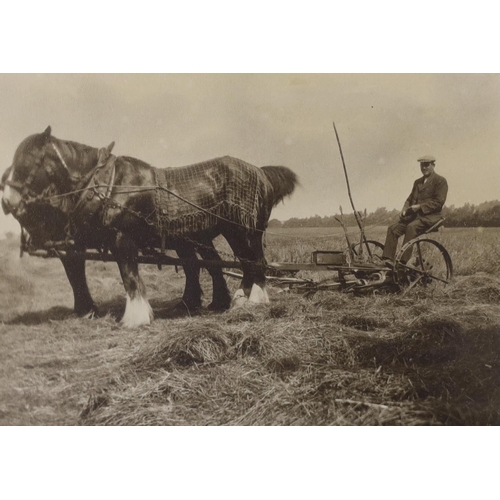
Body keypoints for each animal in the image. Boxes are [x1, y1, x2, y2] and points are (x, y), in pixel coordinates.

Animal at [0, 127, 296, 326]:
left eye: (27, 162)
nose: (7, 201)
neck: (110, 185)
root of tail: (260, 172)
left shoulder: (122, 239)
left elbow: (129, 277)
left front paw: (135, 317)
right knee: (241, 263)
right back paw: (237, 300)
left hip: (240, 230)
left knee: (252, 262)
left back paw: (251, 300)